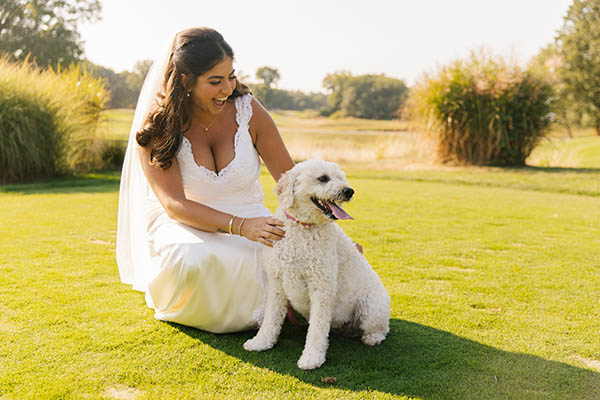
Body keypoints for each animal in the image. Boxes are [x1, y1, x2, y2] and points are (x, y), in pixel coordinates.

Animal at [241, 159, 392, 368]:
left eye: (341, 178)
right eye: (323, 178)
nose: (349, 191)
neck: (303, 228)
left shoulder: (321, 288)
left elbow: (317, 329)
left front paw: (312, 357)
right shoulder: (277, 284)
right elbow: (271, 318)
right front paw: (261, 342)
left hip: (371, 308)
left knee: (381, 329)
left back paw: (373, 338)